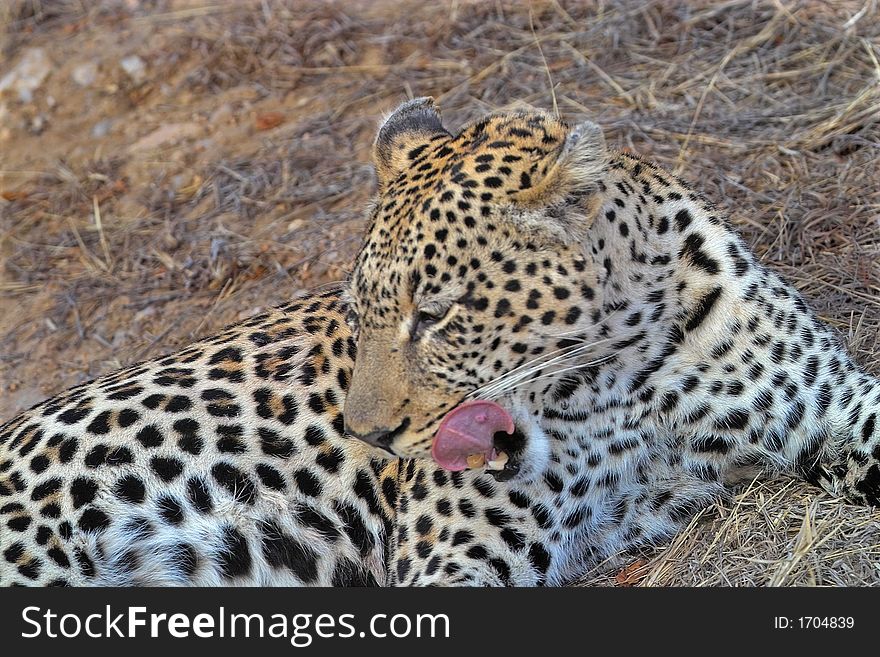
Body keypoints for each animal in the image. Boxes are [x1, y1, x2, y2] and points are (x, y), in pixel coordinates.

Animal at [0, 96, 876, 584]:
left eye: (438, 313)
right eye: (362, 313)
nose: (370, 434)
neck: (625, 376)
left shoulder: (835, 406)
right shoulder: (451, 553)